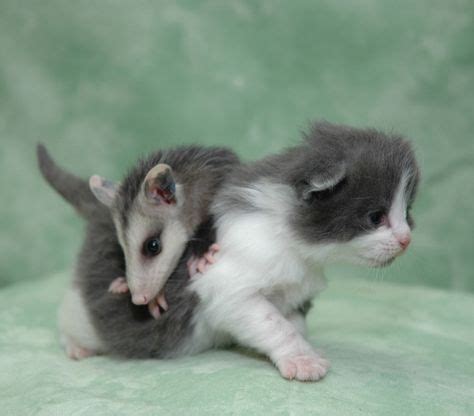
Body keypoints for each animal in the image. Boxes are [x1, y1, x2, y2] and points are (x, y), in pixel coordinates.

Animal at [49, 120, 418, 380]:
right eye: (375, 217)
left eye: (407, 212)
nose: (406, 240)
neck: (290, 241)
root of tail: (103, 210)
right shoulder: (229, 289)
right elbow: (274, 324)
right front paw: (302, 359)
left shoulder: (296, 295)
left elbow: (294, 323)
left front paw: (303, 347)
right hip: (81, 308)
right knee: (68, 316)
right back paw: (76, 346)